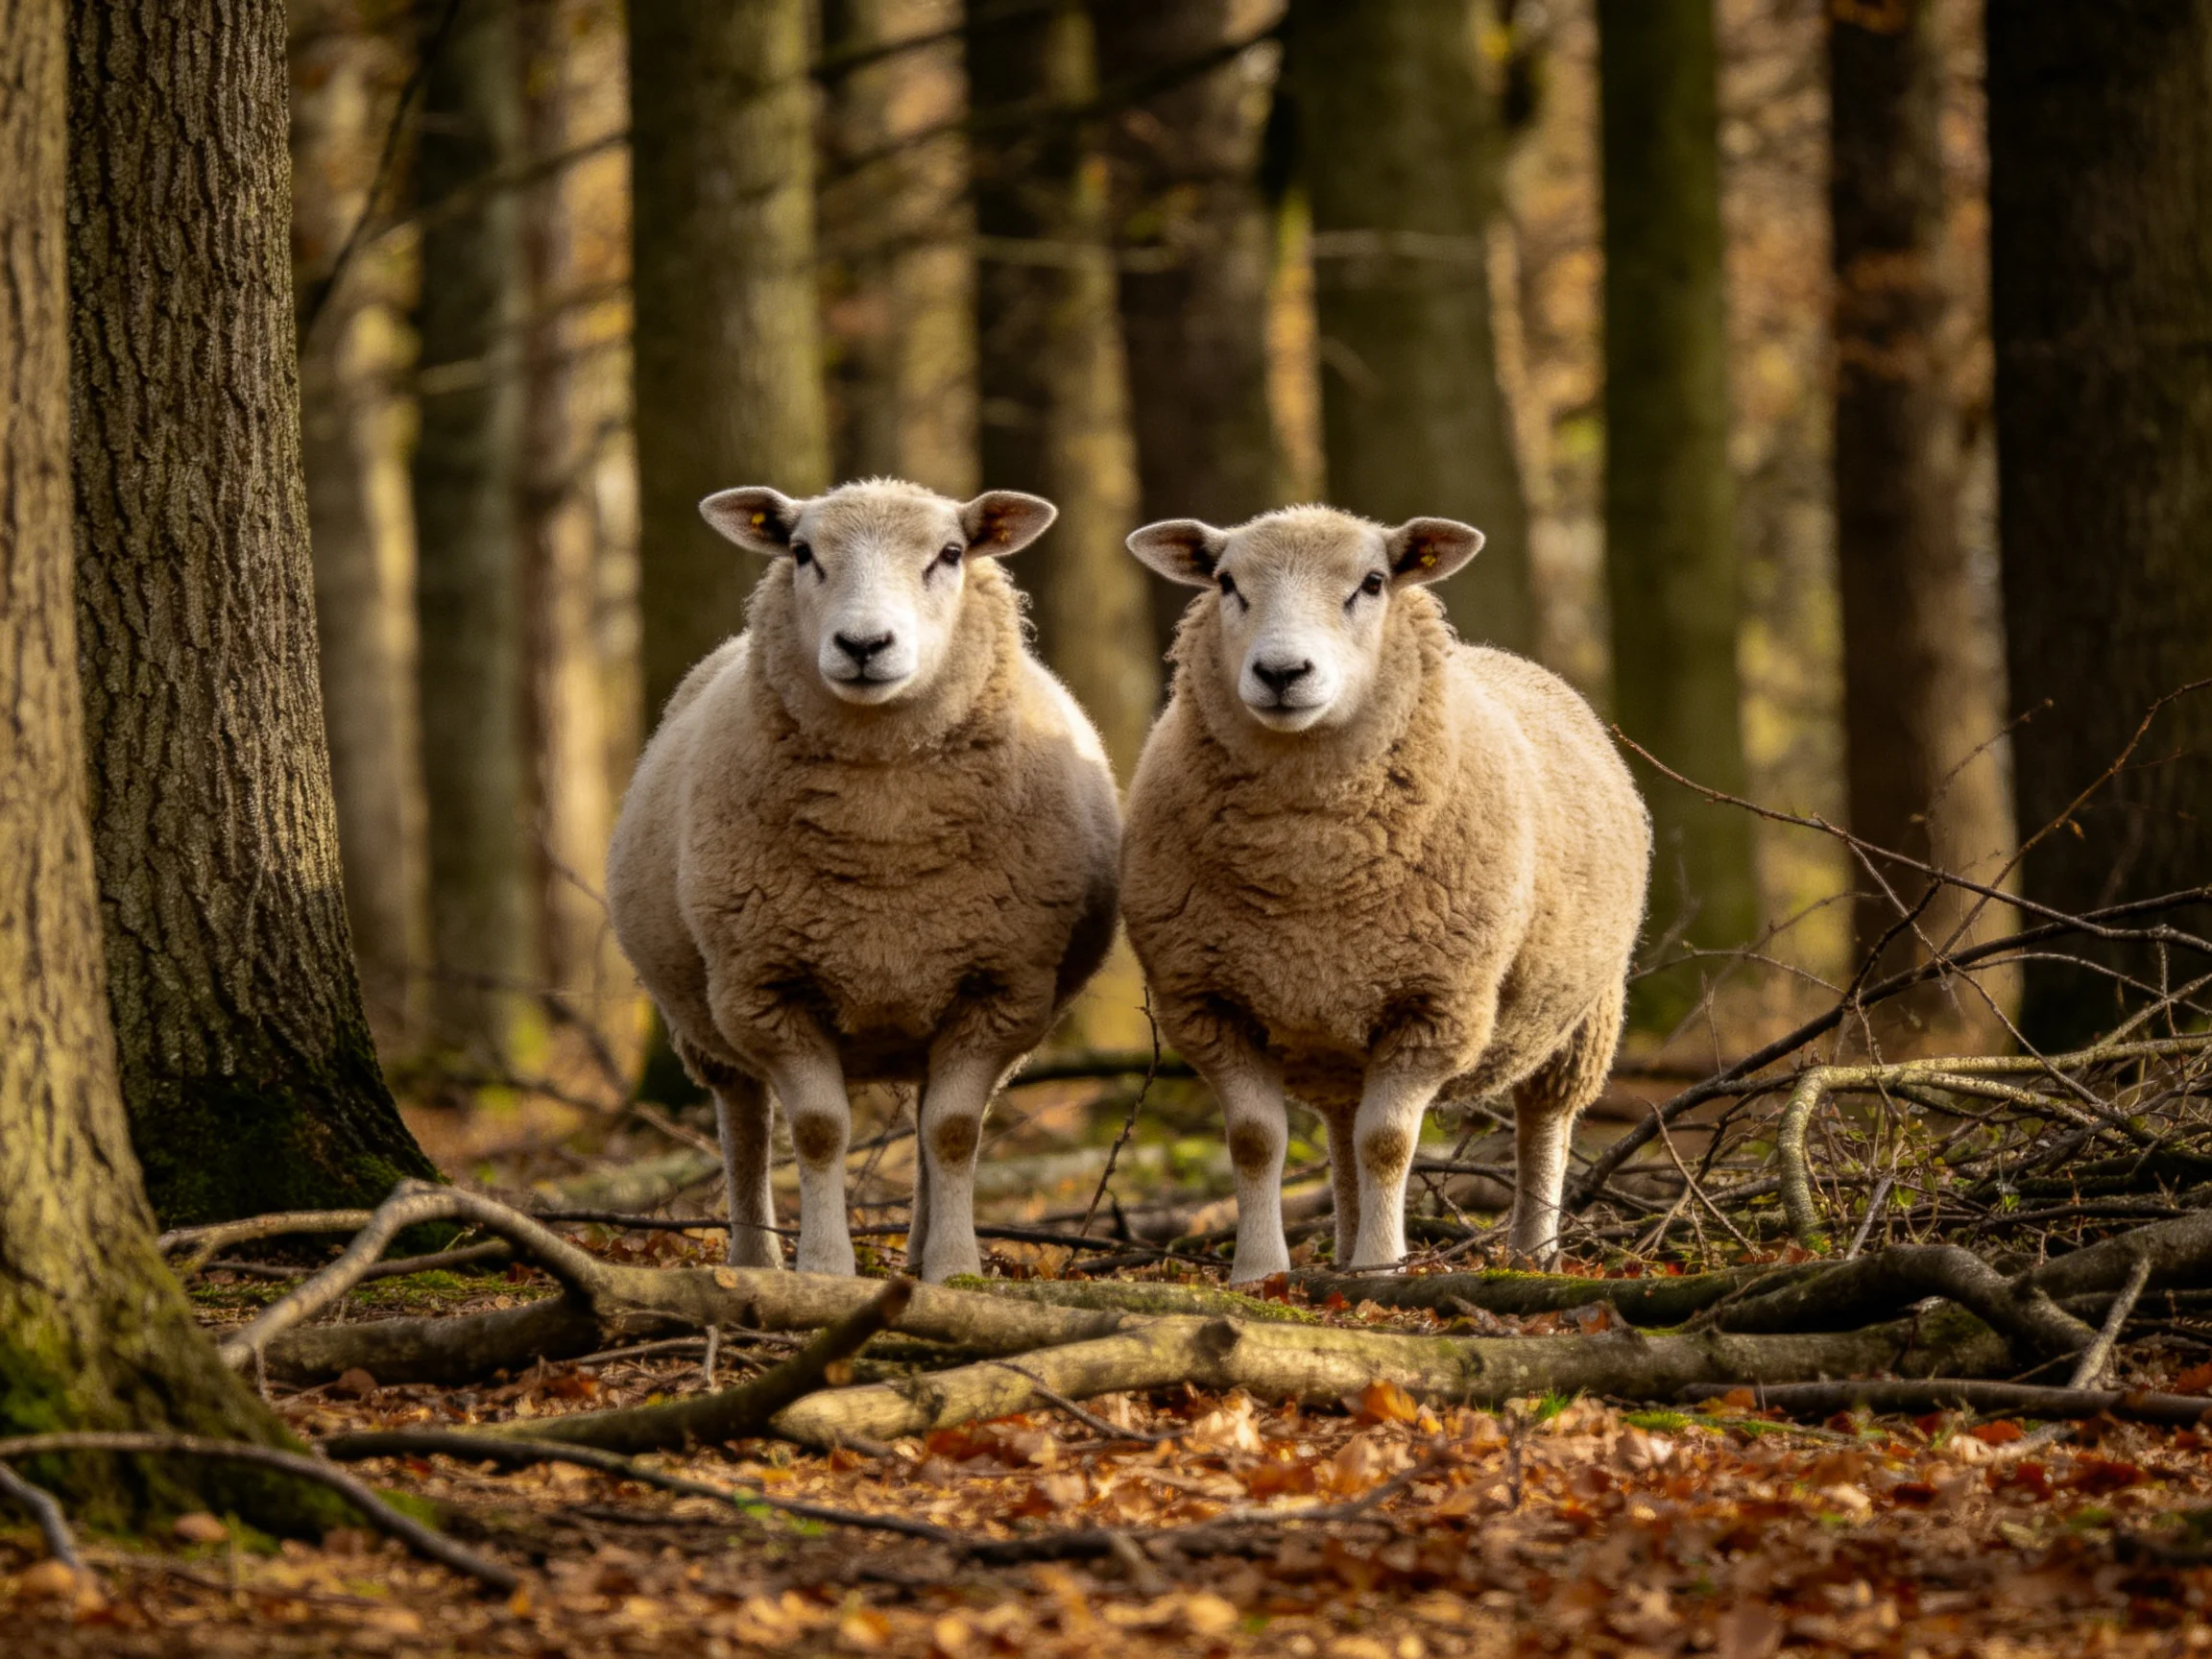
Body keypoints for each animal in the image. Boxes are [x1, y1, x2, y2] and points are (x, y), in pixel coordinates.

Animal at [605, 478, 1121, 1282]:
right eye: (801, 552)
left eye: (950, 554)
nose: (864, 646)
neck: (886, 834)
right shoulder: (769, 990)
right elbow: (819, 1131)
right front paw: (823, 1269)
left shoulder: (998, 992)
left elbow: (952, 1132)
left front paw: (955, 1269)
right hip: (705, 1020)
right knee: (744, 1125)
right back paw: (755, 1259)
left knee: (927, 1126)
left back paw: (914, 1255)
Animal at [1119, 505, 1651, 1279]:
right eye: (1226, 583)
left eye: (1372, 583)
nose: (1282, 672)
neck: (1307, 868)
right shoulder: (1208, 1001)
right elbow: (1256, 1140)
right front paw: (1261, 1273)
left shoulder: (1434, 1003)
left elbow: (1388, 1144)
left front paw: (1382, 1267)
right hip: (1332, 1040)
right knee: (1341, 1131)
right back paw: (1341, 1252)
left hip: (1585, 1013)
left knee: (1544, 1124)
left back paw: (1532, 1254)